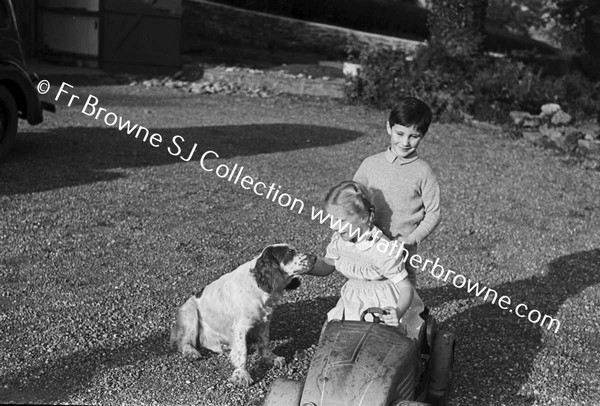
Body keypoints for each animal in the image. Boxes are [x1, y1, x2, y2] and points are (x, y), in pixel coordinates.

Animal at [171, 243, 316, 386]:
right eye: (290, 252)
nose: (315, 257)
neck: (257, 285)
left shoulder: (264, 321)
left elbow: (264, 342)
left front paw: (271, 358)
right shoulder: (240, 327)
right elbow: (242, 351)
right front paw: (242, 375)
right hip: (190, 313)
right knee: (183, 342)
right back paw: (191, 351)